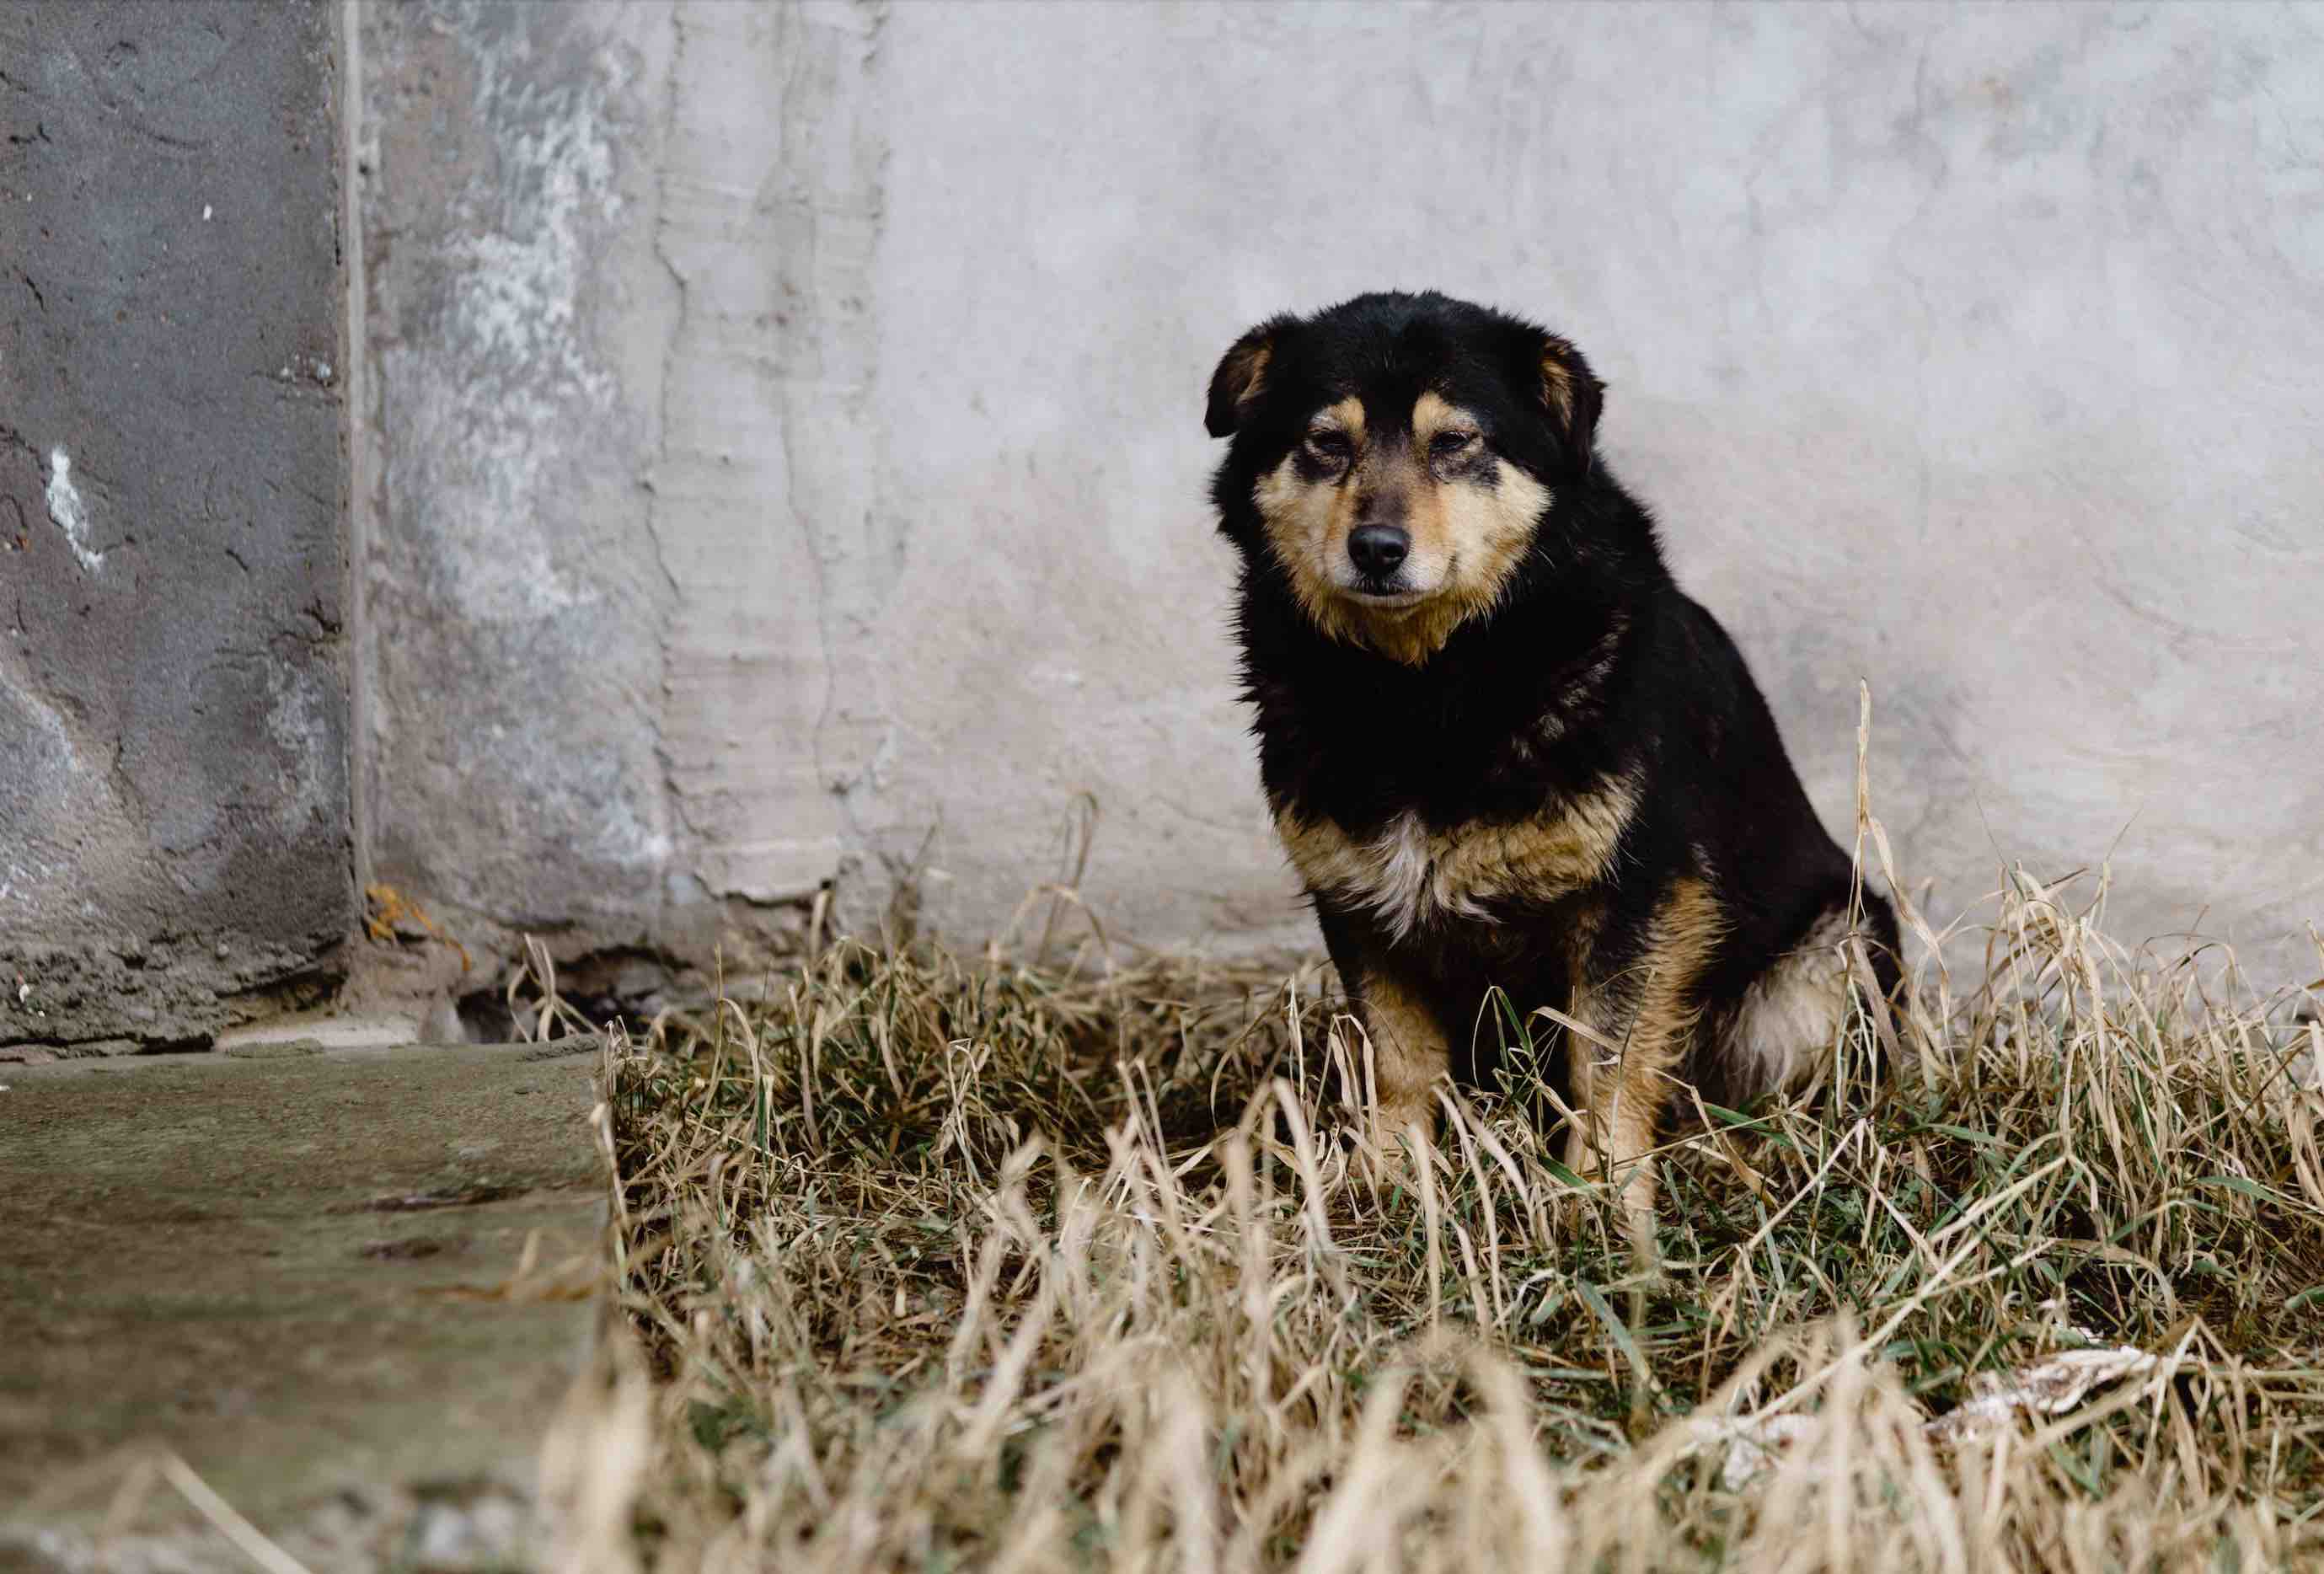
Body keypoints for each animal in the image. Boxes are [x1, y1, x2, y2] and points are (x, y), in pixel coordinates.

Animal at [1208, 295, 1896, 1227]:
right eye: (1325, 440)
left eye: (1455, 441)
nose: (1377, 547)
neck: (1423, 689)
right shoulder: (1355, 896)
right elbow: (1398, 1057)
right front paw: (1387, 1179)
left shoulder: (1641, 896)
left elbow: (1605, 1062)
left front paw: (1601, 1198)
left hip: (1834, 952)